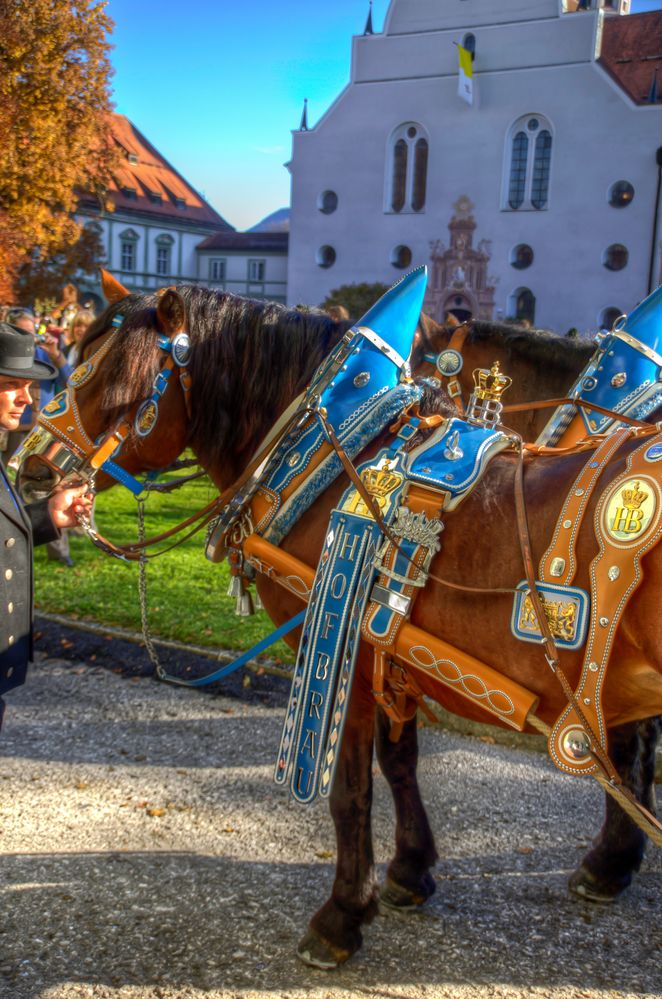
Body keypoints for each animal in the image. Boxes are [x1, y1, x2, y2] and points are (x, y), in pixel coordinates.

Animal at [29, 284, 662, 968]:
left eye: (110, 372)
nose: (30, 465)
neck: (339, 462)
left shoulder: (344, 648)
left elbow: (350, 789)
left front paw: (341, 916)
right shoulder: (390, 649)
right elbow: (399, 761)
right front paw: (410, 870)